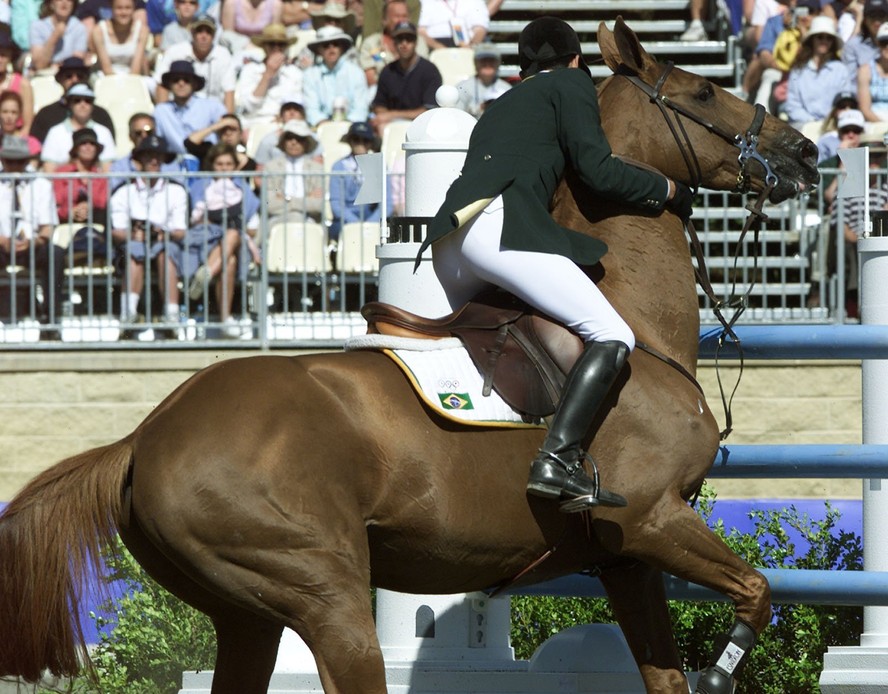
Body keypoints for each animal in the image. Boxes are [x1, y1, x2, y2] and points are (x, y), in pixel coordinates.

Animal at [0, 20, 820, 694]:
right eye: (704, 90)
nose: (806, 152)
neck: (642, 327)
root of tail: (144, 436)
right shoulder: (653, 519)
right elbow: (758, 591)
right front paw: (724, 670)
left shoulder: (628, 556)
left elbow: (671, 671)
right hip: (323, 592)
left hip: (247, 614)